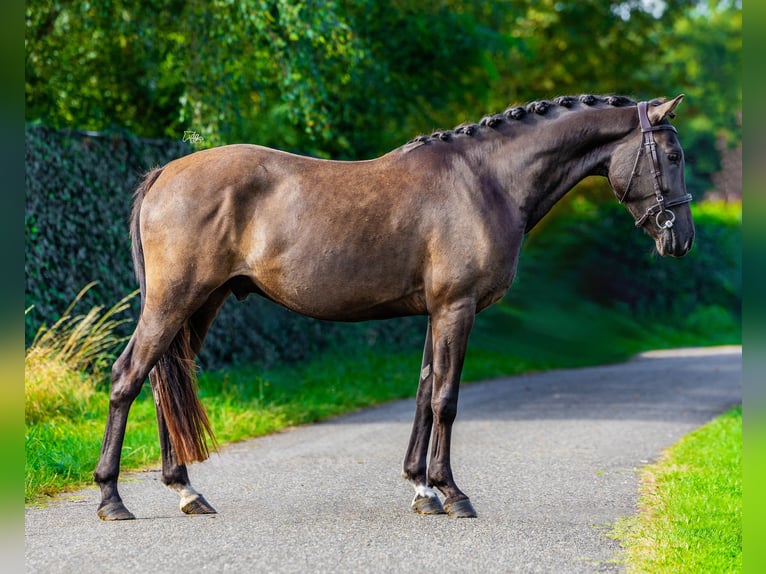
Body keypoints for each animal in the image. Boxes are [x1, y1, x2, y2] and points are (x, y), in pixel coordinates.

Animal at [94, 93, 696, 520]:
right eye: (672, 155)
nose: (681, 239)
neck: (487, 180)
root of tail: (165, 174)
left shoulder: (437, 312)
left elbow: (425, 391)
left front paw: (422, 487)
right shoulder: (457, 308)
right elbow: (446, 399)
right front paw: (453, 494)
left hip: (202, 304)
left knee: (163, 382)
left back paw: (186, 491)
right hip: (175, 301)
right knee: (127, 377)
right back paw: (111, 498)